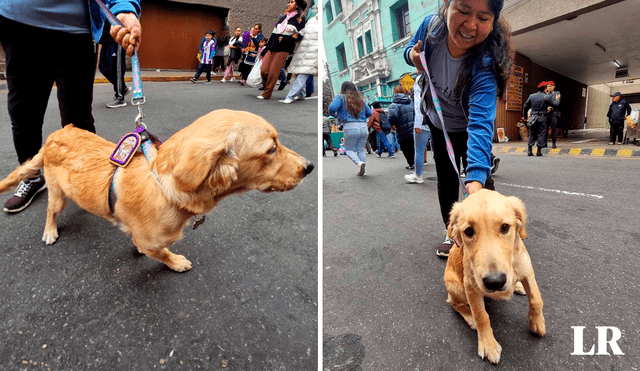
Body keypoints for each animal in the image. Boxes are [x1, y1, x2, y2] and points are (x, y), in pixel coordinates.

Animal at [0, 109, 312, 272]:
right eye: (270, 149)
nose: (309, 167)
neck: (165, 190)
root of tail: (56, 134)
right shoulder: (151, 241)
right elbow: (161, 253)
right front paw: (175, 262)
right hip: (56, 195)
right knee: (50, 211)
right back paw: (50, 230)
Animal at [444, 190, 544, 364]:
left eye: (505, 227)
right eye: (468, 231)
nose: (495, 282)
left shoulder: (527, 269)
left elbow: (536, 298)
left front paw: (537, 322)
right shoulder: (471, 286)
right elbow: (481, 315)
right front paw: (488, 345)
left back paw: (517, 287)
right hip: (455, 287)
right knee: (454, 303)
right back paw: (469, 316)